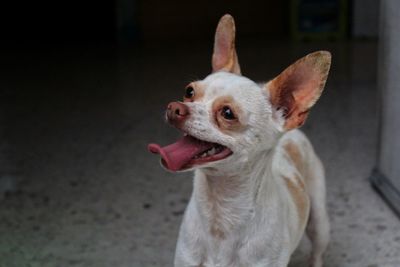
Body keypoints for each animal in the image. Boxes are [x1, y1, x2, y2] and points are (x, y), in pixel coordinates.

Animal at [148, 14, 330, 267]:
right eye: (189, 92)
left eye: (227, 113)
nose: (175, 107)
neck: (221, 216)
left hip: (319, 224)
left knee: (317, 252)